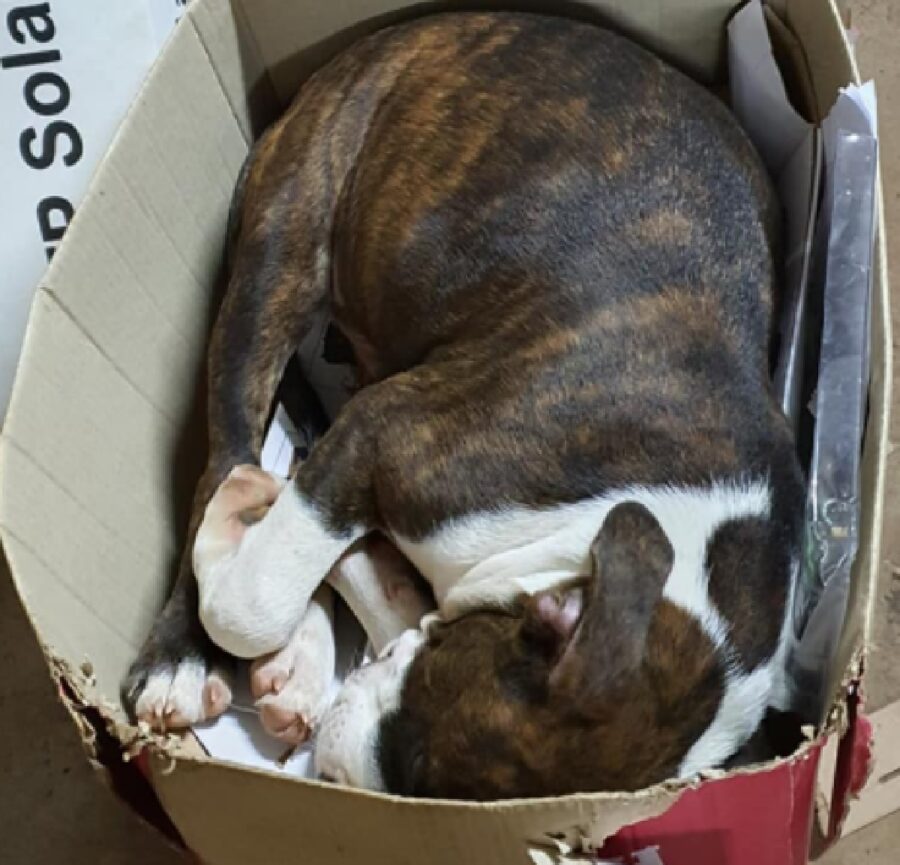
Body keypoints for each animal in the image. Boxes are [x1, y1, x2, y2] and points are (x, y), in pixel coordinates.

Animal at [119, 10, 800, 800]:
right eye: (417, 755)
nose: (335, 772)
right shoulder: (383, 437)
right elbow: (252, 599)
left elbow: (344, 569)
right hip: (281, 251)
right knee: (226, 450)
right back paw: (184, 653)